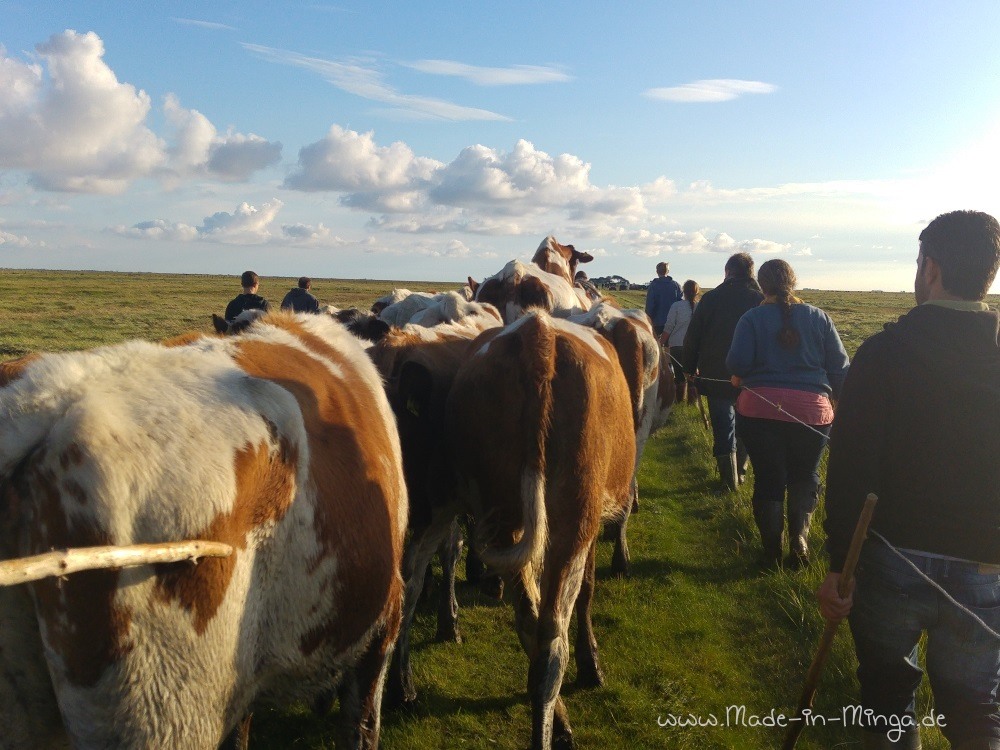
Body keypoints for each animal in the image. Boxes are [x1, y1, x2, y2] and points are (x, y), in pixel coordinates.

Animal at [450, 312, 636, 750]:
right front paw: (592, 664)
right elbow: (587, 593)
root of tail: (539, 335)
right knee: (552, 636)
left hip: (503, 516)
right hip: (574, 519)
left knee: (530, 622)